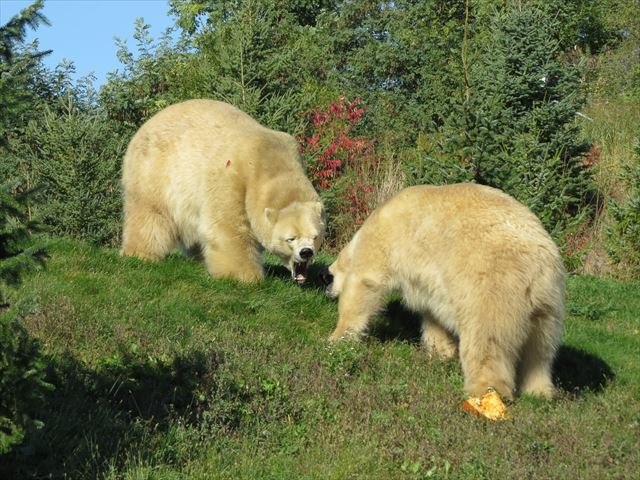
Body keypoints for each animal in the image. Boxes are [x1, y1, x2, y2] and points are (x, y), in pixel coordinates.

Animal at [120, 99, 325, 283]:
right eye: (291, 238)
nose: (306, 252)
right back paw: (140, 253)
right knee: (150, 214)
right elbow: (228, 227)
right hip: (153, 170)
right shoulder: (232, 177)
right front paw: (244, 276)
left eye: (315, 236)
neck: (269, 160)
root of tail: (147, 123)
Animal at [324, 183, 565, 400]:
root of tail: (538, 262)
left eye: (329, 275)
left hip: (492, 285)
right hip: (547, 300)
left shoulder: (385, 242)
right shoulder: (429, 280)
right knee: (541, 348)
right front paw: (442, 350)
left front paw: (336, 338)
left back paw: (486, 391)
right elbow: (433, 315)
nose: (327, 290)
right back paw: (539, 392)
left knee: (486, 339)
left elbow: (366, 283)